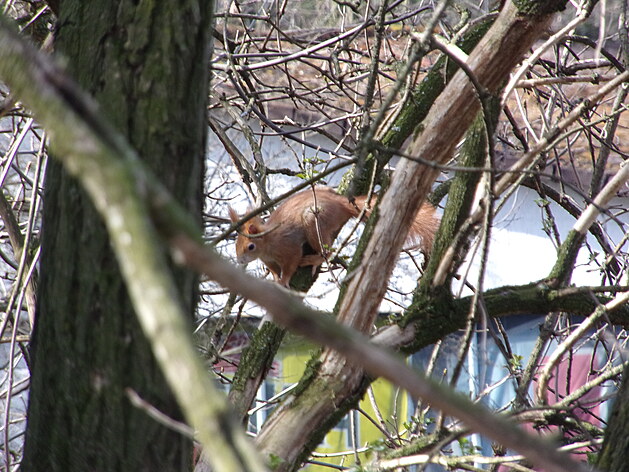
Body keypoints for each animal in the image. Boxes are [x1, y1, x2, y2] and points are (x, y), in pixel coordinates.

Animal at [228, 186, 440, 286]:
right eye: (236, 244)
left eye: (251, 247)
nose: (239, 260)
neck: (268, 244)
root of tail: (342, 205)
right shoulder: (268, 260)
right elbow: (273, 269)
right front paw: (274, 277)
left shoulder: (288, 247)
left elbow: (291, 263)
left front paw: (283, 280)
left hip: (314, 222)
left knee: (328, 252)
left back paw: (314, 260)